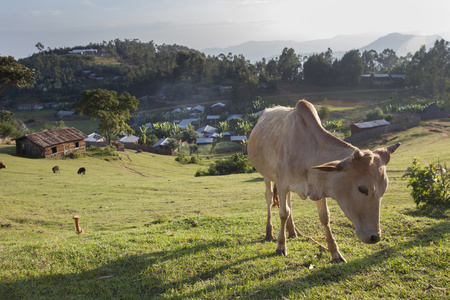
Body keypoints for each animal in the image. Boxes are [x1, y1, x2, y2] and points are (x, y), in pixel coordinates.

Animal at [246, 99, 400, 262]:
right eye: (362, 189)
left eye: (383, 190)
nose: (375, 237)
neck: (305, 150)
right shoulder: (282, 184)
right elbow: (283, 213)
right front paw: (281, 245)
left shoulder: (318, 187)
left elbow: (324, 217)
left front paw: (335, 252)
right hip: (267, 177)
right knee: (270, 199)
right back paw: (269, 232)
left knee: (288, 202)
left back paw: (292, 230)